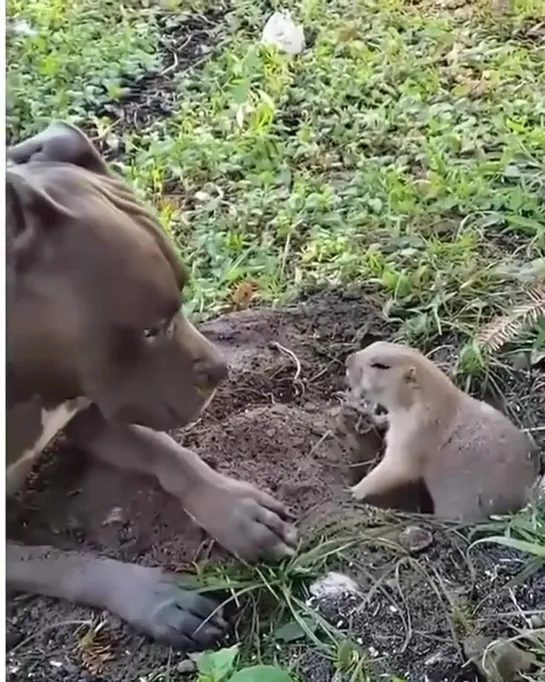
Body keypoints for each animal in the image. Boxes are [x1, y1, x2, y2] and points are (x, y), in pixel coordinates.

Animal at [6, 122, 298, 648]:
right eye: (148, 330)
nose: (219, 372)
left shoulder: (90, 412)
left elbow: (169, 453)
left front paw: (236, 509)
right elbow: (60, 561)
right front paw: (155, 598)